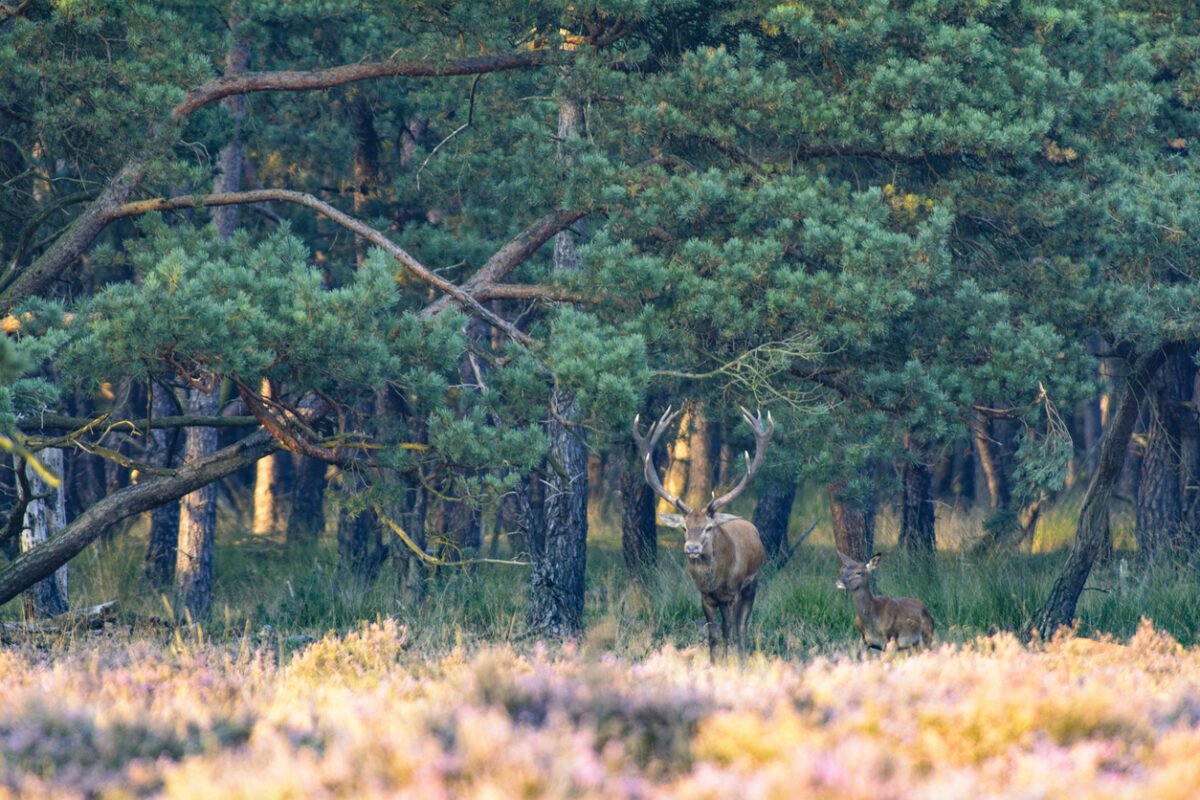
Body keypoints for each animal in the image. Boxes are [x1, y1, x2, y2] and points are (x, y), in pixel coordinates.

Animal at [633, 407, 772, 662]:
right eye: (684, 527)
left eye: (709, 527)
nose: (692, 548)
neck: (717, 580)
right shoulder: (706, 597)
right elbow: (713, 635)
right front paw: (715, 663)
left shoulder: (734, 592)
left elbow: (735, 630)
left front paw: (735, 663)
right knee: (726, 628)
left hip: (753, 582)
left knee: (741, 628)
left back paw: (741, 658)